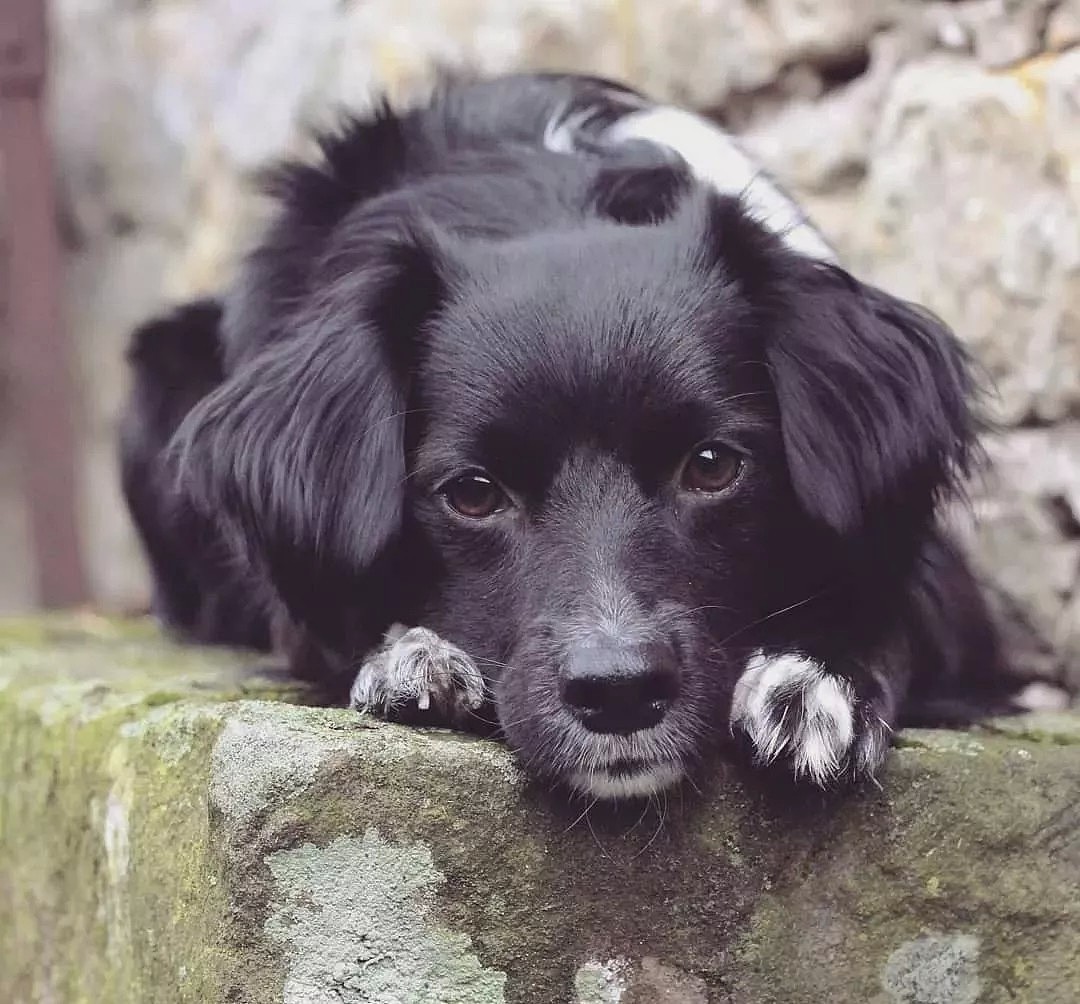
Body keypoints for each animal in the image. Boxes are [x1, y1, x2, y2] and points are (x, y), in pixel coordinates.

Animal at [122, 72, 1023, 798]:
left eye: (712, 466)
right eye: (473, 493)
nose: (618, 693)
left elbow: (890, 605)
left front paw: (813, 680)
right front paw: (413, 657)